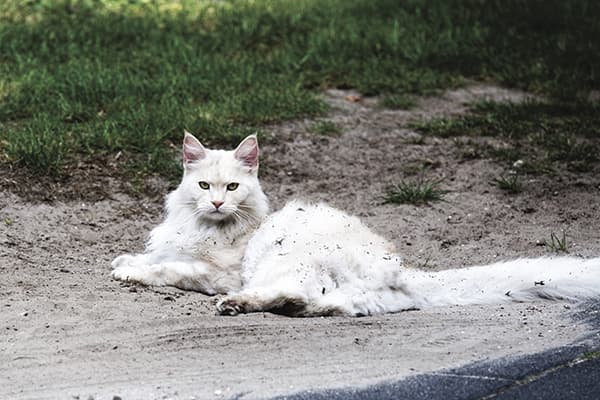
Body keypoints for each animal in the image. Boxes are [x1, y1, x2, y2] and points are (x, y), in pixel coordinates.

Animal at [112, 133, 600, 318]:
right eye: (203, 185)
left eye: (232, 187)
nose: (216, 202)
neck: (206, 226)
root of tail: (403, 273)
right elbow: (158, 255)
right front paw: (129, 259)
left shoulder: (216, 272)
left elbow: (169, 269)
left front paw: (128, 270)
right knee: (324, 305)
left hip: (279, 261)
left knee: (295, 293)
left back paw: (236, 305)